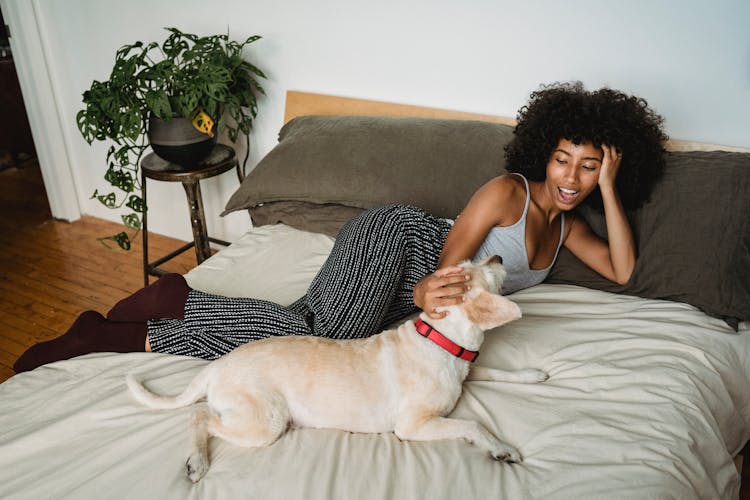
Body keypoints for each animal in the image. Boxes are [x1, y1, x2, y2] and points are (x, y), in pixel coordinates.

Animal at [128, 256, 548, 482]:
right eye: (479, 271)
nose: (498, 258)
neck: (441, 339)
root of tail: (217, 366)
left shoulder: (466, 370)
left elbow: (496, 371)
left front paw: (532, 375)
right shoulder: (413, 425)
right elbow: (471, 425)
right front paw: (501, 448)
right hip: (265, 423)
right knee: (199, 416)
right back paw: (197, 461)